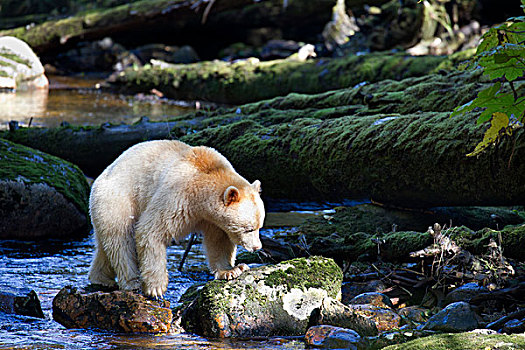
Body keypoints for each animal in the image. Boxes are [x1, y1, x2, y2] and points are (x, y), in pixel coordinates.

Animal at [88, 139, 266, 298]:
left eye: (259, 226)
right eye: (248, 228)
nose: (257, 247)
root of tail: (100, 178)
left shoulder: (213, 220)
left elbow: (219, 242)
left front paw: (232, 270)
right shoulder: (178, 194)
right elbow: (151, 230)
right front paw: (156, 287)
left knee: (105, 246)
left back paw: (101, 279)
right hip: (119, 201)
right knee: (121, 242)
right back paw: (132, 282)